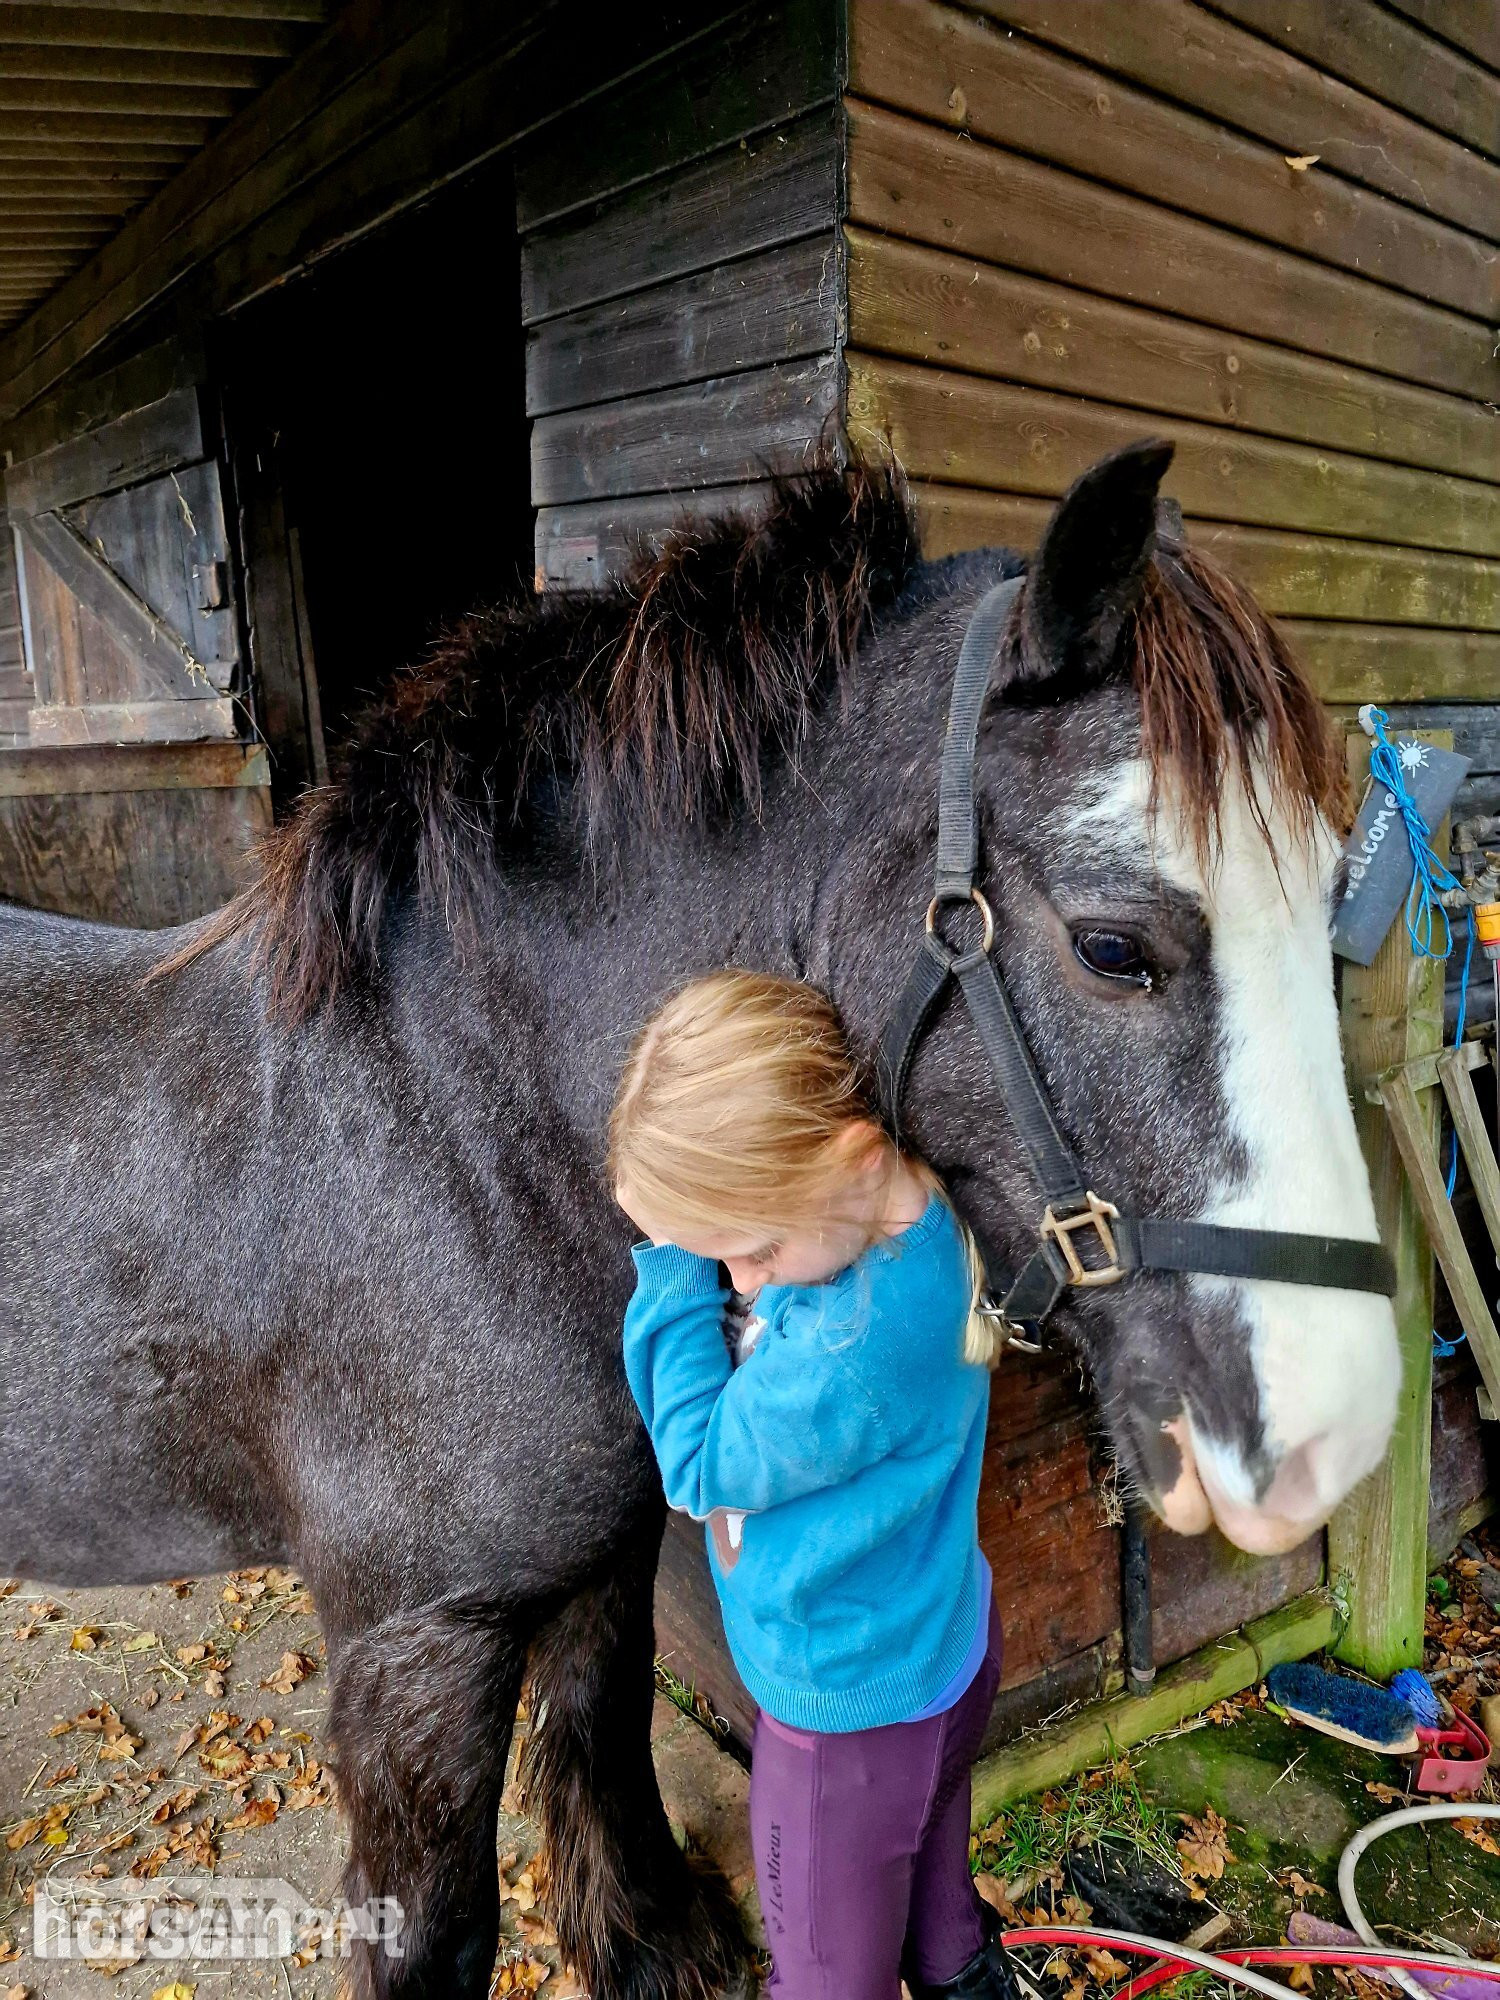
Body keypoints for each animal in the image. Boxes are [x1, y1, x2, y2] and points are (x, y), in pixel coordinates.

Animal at [0, 439, 1399, 1998]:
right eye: (1114, 947)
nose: (1335, 1426)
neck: (465, 1139)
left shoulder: (605, 1563)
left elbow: (600, 1737)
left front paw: (646, 1938)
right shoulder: (409, 1646)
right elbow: (439, 1924)